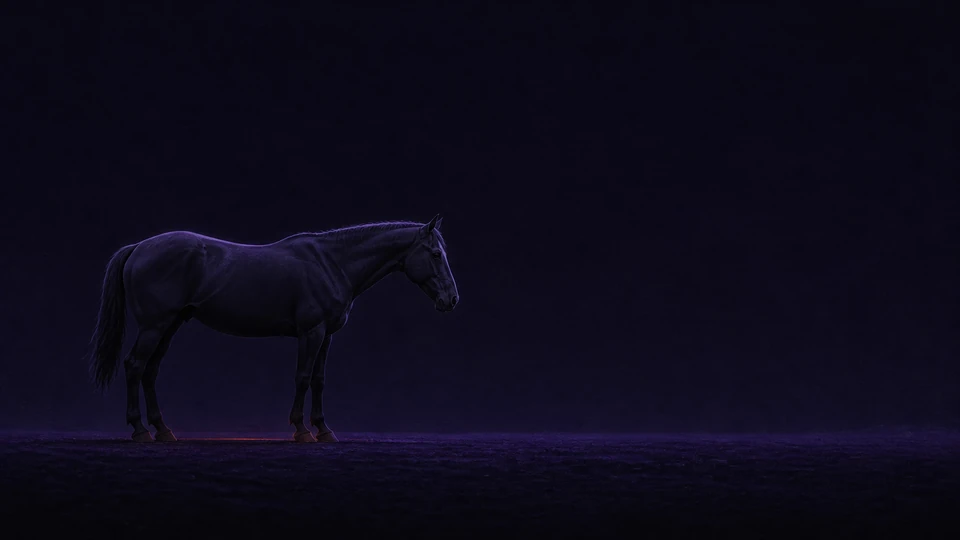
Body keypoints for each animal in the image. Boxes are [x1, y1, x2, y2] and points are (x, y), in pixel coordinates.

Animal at [87, 215, 459, 443]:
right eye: (435, 253)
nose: (452, 299)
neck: (332, 263)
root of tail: (139, 247)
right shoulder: (311, 332)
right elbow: (303, 378)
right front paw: (302, 430)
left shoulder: (327, 336)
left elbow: (320, 381)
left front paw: (324, 429)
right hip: (155, 325)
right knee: (135, 366)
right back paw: (139, 430)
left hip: (170, 325)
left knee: (150, 371)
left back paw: (163, 430)